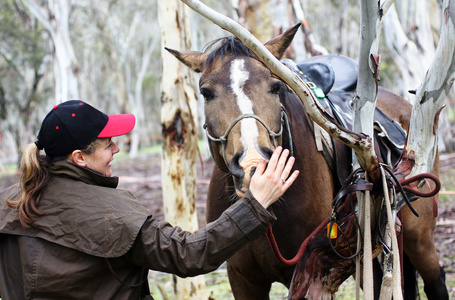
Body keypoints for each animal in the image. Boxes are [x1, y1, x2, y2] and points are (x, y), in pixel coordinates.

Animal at [167, 24, 448, 300]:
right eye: (206, 93)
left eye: (275, 87)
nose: (254, 165)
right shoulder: (243, 279)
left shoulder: (308, 273)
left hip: (418, 237)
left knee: (436, 281)